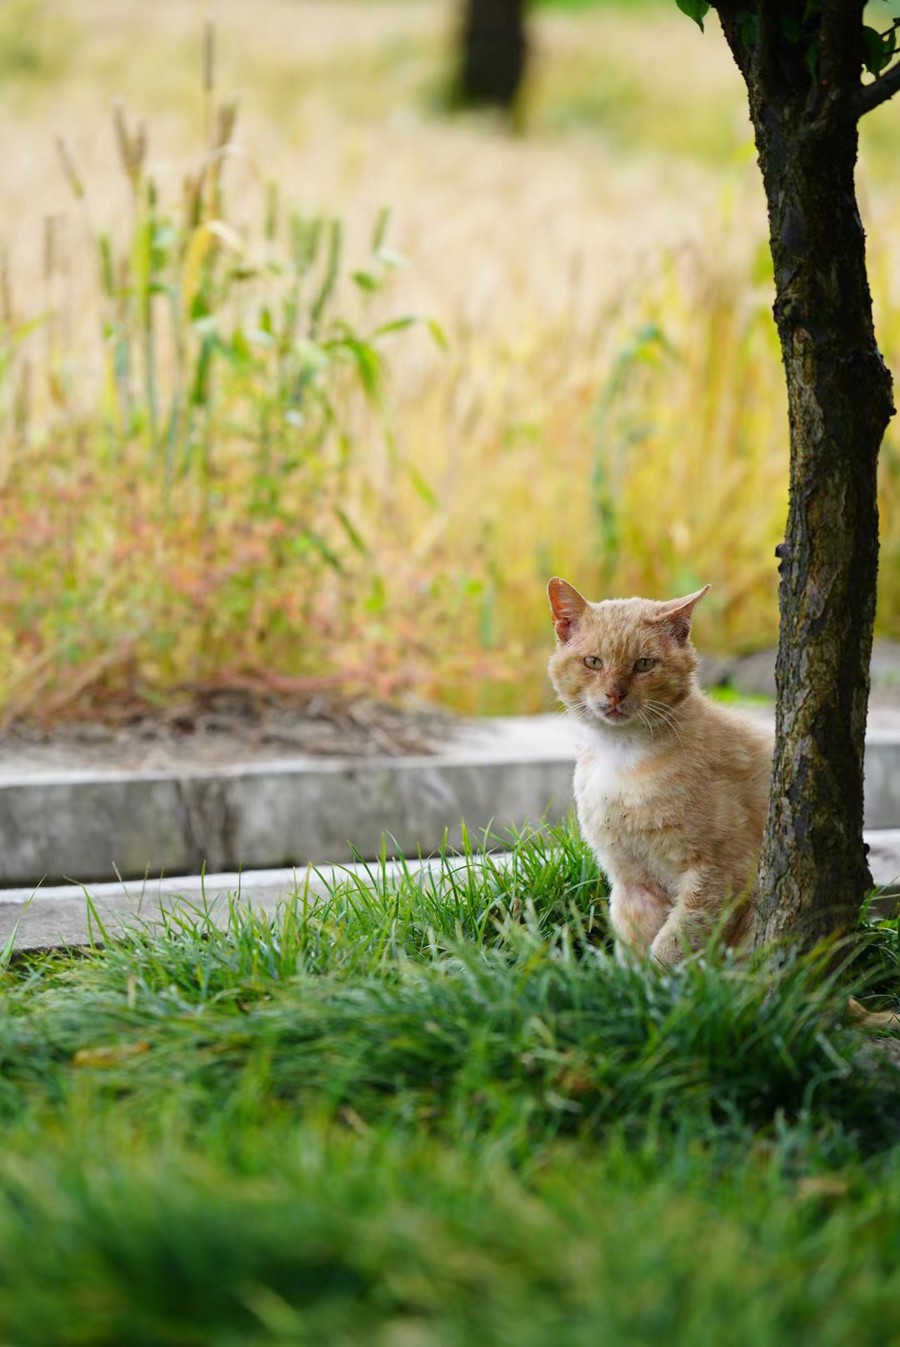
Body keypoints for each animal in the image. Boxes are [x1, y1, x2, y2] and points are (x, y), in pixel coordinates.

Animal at [549, 573, 776, 964]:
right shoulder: (633, 885)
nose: (615, 695)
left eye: (644, 664)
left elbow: (673, 944)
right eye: (593, 662)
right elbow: (634, 947)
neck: (619, 758)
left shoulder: (719, 874)